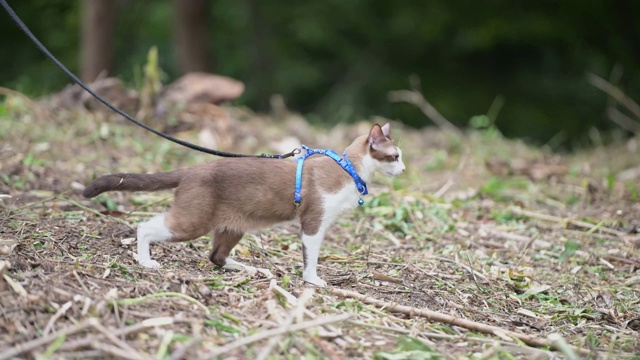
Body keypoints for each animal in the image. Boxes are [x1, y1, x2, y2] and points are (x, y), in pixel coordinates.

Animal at [82, 124, 404, 286]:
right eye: (395, 156)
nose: (403, 169)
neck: (350, 171)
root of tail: (192, 169)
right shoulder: (314, 223)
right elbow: (311, 259)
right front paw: (314, 281)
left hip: (233, 227)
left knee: (216, 256)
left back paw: (251, 269)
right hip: (192, 222)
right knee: (145, 227)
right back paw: (146, 262)